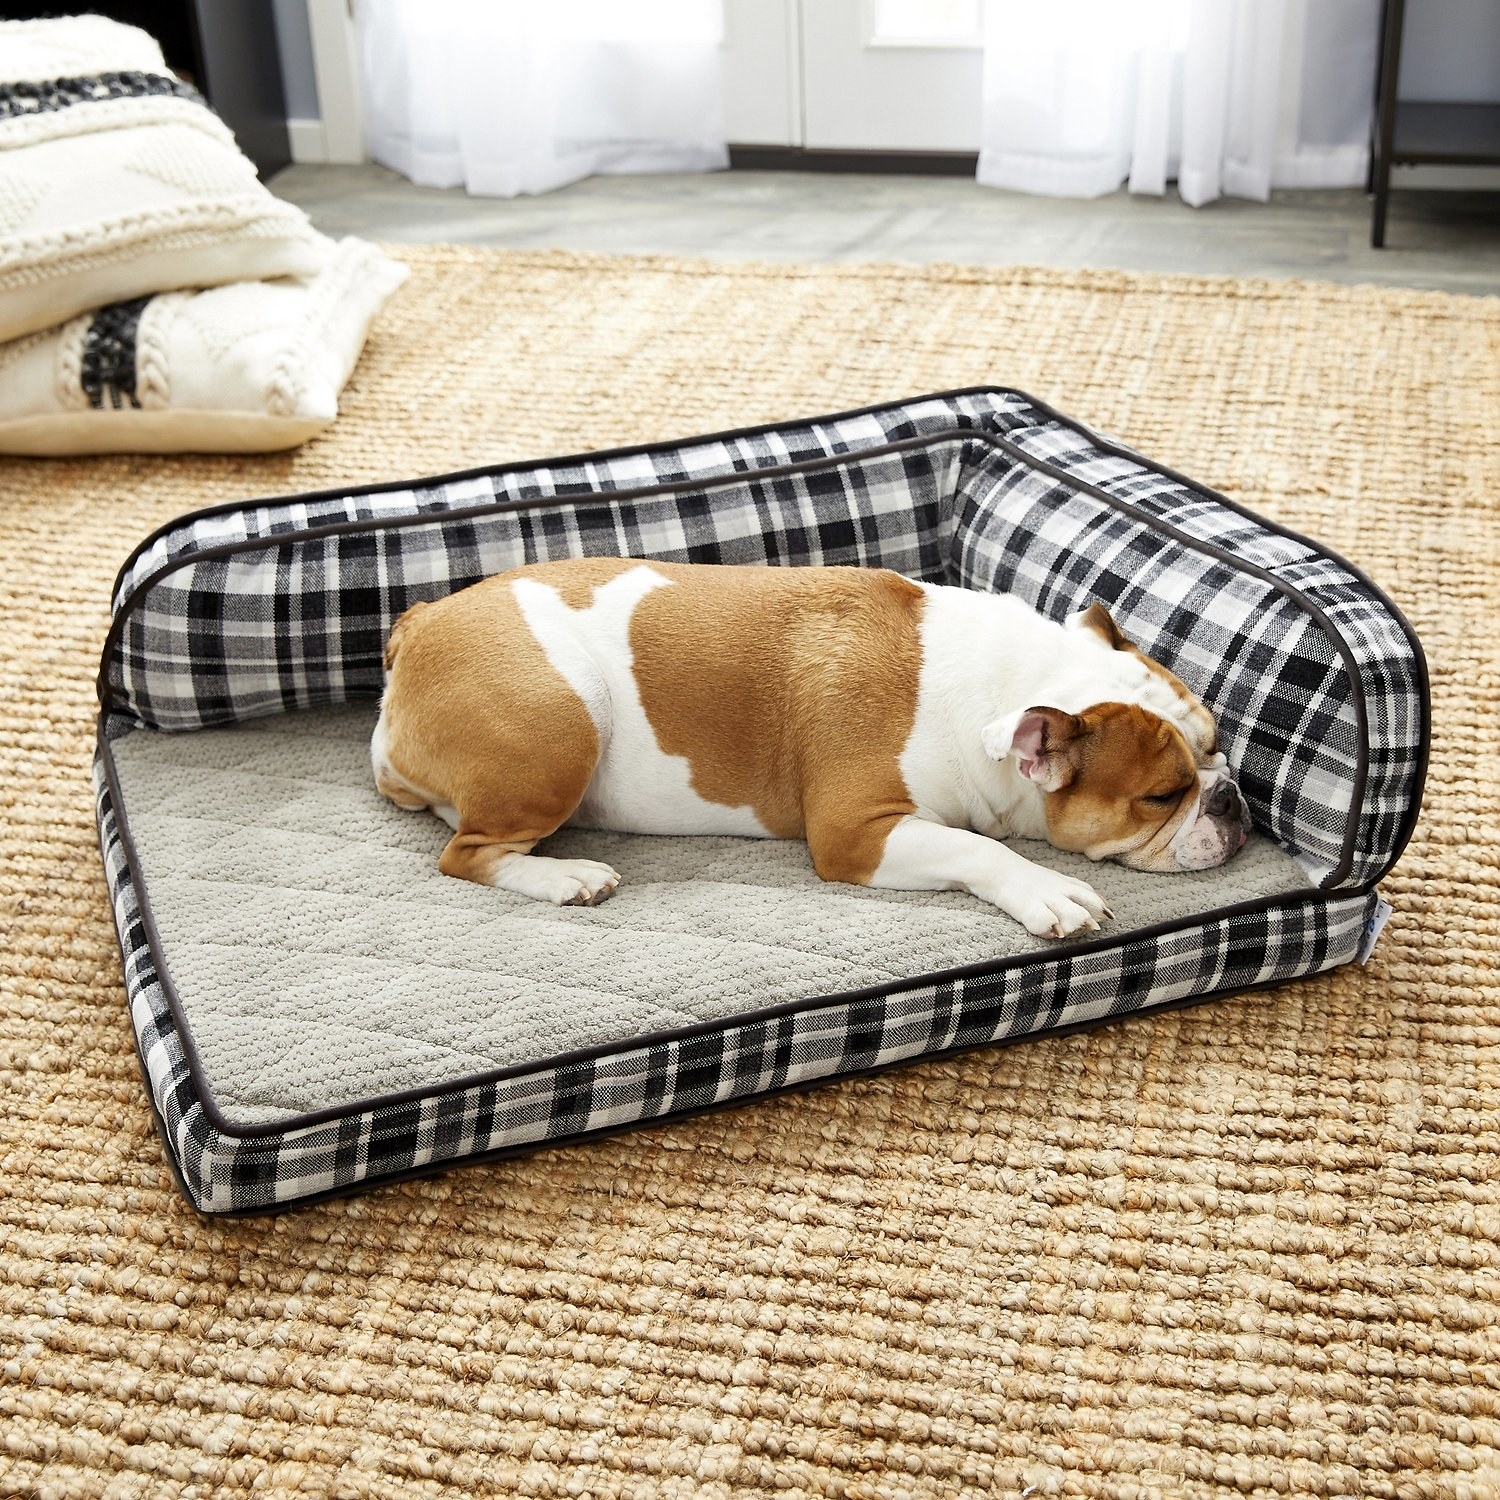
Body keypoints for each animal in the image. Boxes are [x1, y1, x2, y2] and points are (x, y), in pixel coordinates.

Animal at [369, 564, 1248, 936]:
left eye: (1218, 750)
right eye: (1162, 796)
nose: (1232, 797)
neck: (1009, 678)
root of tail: (417, 624)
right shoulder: (857, 833)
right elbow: (978, 848)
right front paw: (1047, 890)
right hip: (562, 720)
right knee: (466, 853)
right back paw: (565, 877)